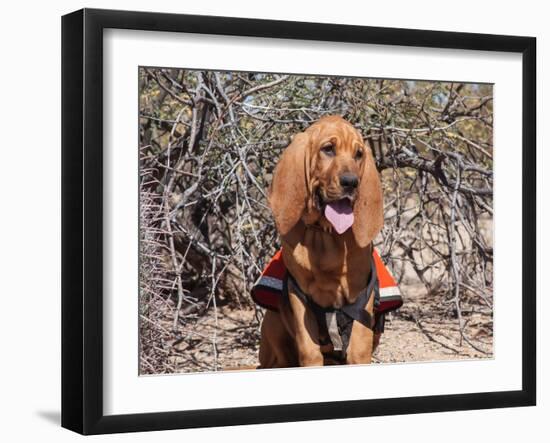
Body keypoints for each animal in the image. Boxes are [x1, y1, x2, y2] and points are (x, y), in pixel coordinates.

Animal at [258, 116, 384, 370]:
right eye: (328, 149)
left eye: (359, 154)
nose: (351, 182)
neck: (325, 234)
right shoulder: (299, 297)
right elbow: (309, 351)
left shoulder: (361, 298)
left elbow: (358, 349)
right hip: (273, 323)